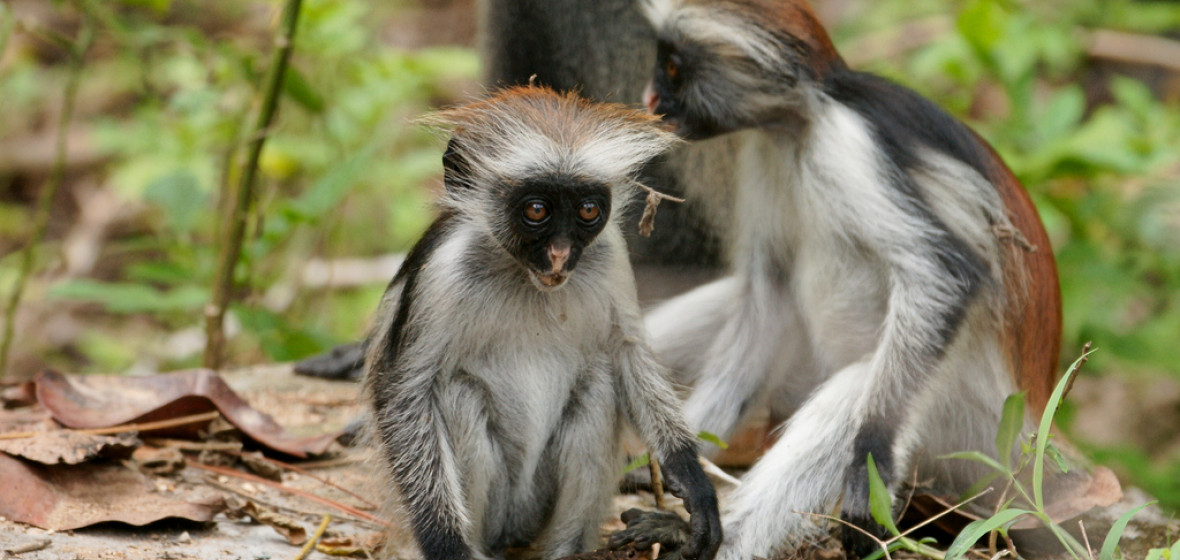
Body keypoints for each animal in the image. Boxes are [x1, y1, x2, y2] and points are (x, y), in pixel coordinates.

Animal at [365, 86, 717, 560]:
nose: (560, 254)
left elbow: (628, 353)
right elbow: (405, 394)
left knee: (601, 383)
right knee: (456, 393)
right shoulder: (443, 271)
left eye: (587, 210)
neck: (525, 279)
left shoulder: (608, 253)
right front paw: (445, 543)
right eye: (536, 210)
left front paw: (690, 476)